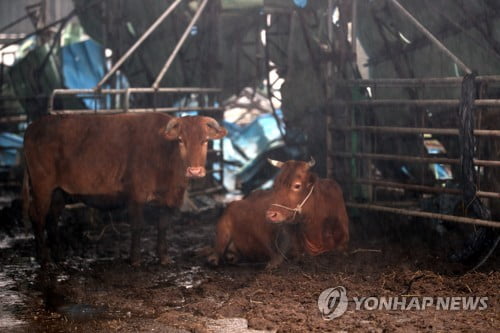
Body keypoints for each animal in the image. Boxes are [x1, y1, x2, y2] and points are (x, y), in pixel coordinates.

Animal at [23, 113, 227, 266]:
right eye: (180, 140)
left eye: (205, 140)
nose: (194, 171)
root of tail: (34, 125)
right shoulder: (136, 195)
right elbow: (137, 226)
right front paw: (135, 259)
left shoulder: (166, 200)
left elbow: (163, 225)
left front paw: (164, 258)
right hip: (42, 187)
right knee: (37, 217)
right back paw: (45, 259)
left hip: (59, 193)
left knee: (52, 219)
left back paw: (59, 257)